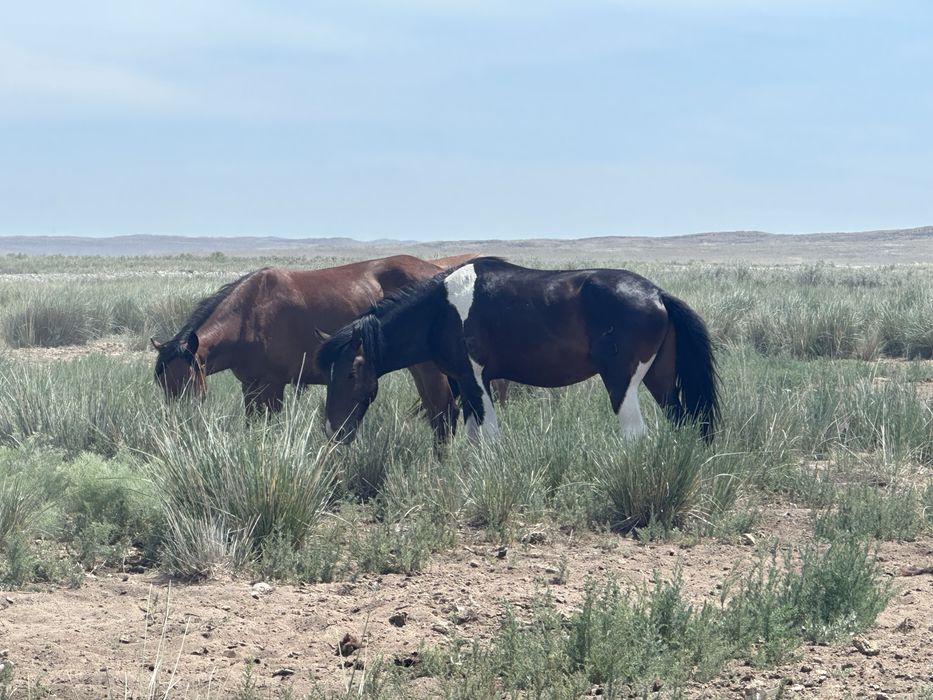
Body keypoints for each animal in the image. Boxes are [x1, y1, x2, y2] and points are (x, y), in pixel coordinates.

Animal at [151, 253, 481, 441]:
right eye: (164, 384)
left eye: (187, 381)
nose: (177, 425)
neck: (249, 315)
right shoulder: (252, 387)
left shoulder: (271, 386)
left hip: (428, 368)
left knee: (442, 414)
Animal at [317, 257, 718, 443]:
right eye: (329, 375)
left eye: (351, 372)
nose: (333, 431)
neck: (439, 312)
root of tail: (657, 293)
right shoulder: (467, 385)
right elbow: (474, 438)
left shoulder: (477, 382)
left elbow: (489, 437)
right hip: (660, 380)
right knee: (684, 421)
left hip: (622, 383)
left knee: (634, 433)